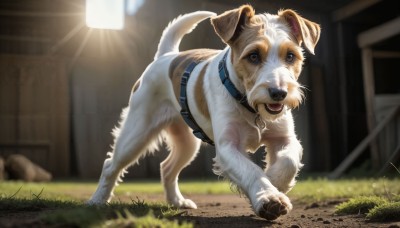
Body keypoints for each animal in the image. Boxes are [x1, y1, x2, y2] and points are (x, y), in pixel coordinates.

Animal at [89, 4, 320, 220]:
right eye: (253, 56)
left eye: (290, 56)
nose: (279, 93)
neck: (249, 105)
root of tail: (167, 56)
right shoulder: (228, 147)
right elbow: (252, 171)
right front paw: (268, 195)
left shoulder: (284, 138)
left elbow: (288, 161)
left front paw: (274, 180)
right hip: (136, 134)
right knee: (110, 165)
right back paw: (97, 200)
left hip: (187, 143)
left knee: (167, 168)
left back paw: (177, 201)